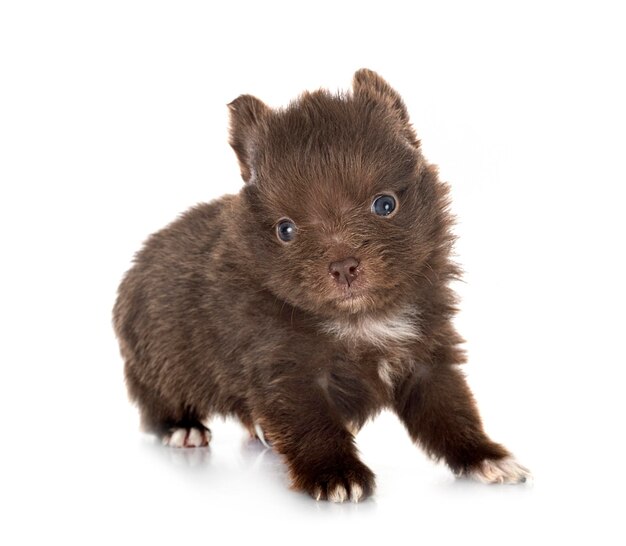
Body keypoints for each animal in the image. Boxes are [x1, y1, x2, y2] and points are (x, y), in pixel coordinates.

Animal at [112, 69, 528, 502]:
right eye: (286, 229)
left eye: (384, 205)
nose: (343, 267)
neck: (359, 319)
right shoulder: (289, 372)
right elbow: (313, 425)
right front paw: (336, 473)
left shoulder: (427, 359)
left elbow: (453, 413)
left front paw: (485, 457)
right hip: (156, 359)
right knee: (155, 400)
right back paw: (182, 427)